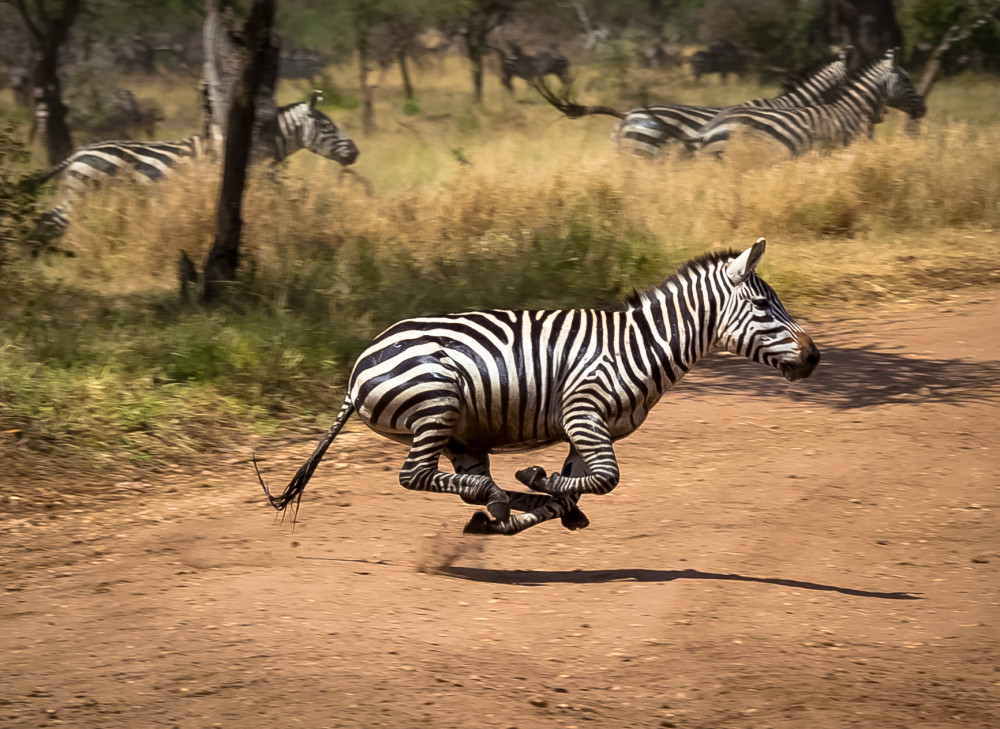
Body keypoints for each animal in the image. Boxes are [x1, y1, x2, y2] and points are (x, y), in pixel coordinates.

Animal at [29, 91, 358, 240]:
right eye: (327, 126)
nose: (355, 152)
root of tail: (78, 152)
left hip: (76, 193)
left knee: (48, 219)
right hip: (86, 196)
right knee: (57, 222)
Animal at [256, 238, 820, 537]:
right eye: (764, 306)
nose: (814, 357)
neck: (642, 344)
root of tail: (358, 369)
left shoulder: (588, 429)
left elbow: (577, 488)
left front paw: (541, 500)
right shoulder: (583, 412)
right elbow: (606, 479)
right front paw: (536, 479)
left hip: (461, 433)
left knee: (457, 480)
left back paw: (496, 503)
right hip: (437, 403)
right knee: (415, 476)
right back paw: (494, 495)